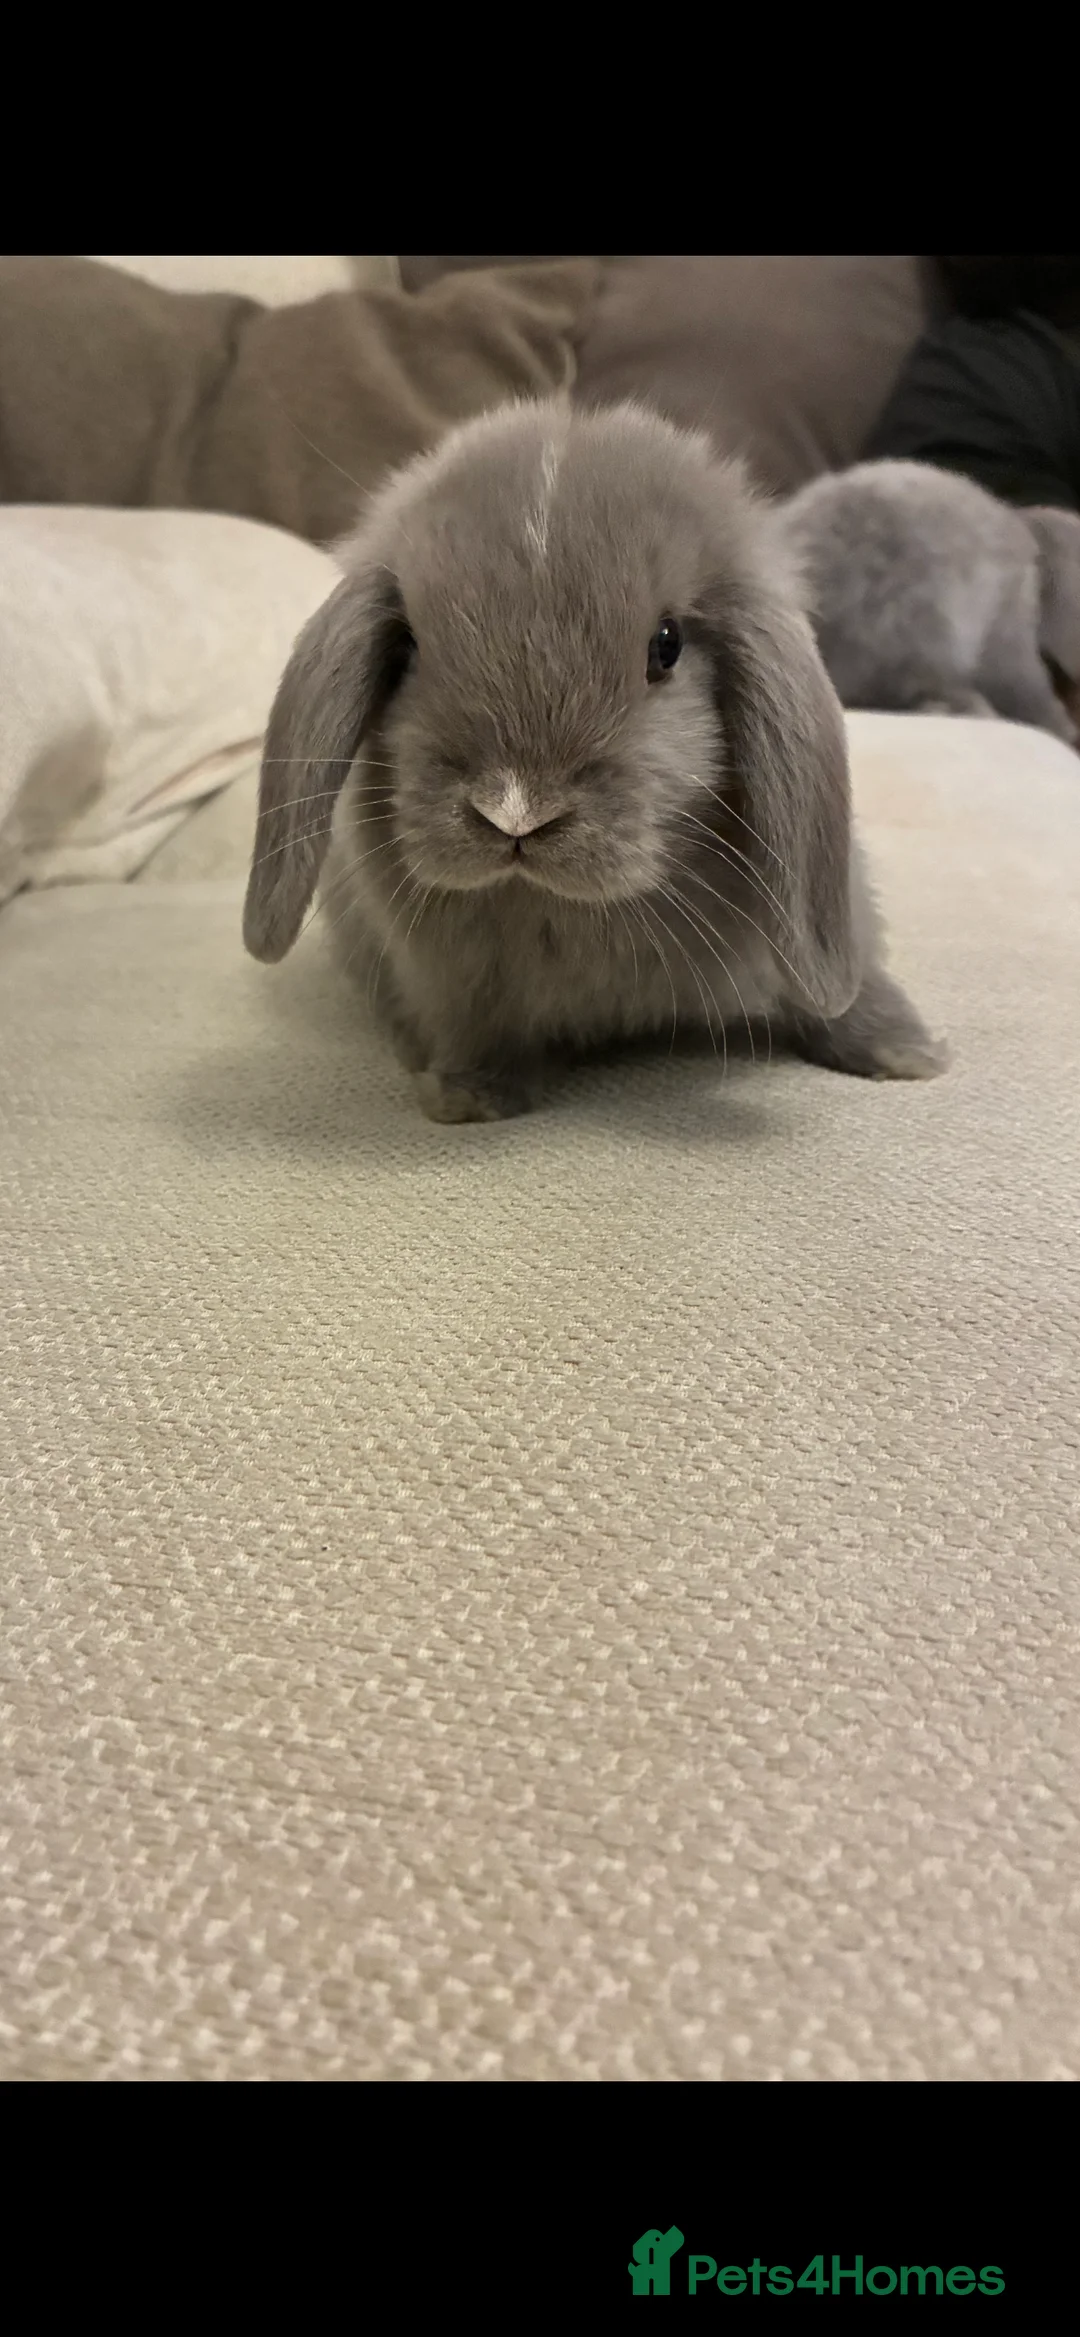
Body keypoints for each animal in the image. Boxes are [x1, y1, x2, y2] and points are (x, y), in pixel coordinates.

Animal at [243, 399, 946, 1123]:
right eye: (407, 644)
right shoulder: (460, 992)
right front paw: (466, 1097)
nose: (515, 812)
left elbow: (844, 1001)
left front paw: (906, 1054)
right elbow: (486, 1037)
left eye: (666, 645)